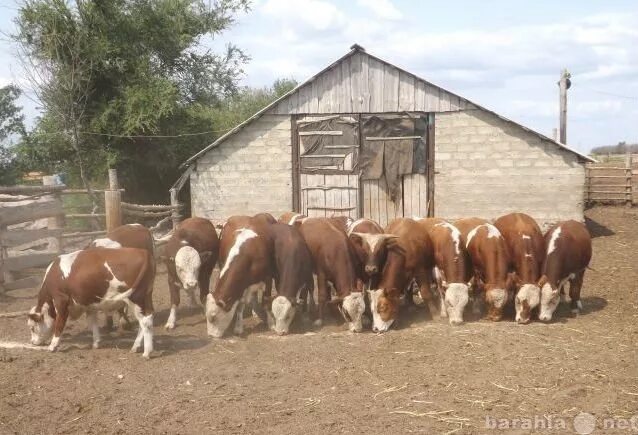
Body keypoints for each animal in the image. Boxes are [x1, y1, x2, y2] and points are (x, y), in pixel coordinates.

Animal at [26, 249, 156, 358]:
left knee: (145, 321)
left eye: (32, 328)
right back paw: (135, 347)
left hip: (135, 298)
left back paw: (146, 352)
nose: (33, 342)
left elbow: (59, 324)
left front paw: (53, 346)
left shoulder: (61, 301)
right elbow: (92, 322)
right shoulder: (88, 304)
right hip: (146, 297)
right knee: (146, 319)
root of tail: (143, 252)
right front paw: (96, 342)